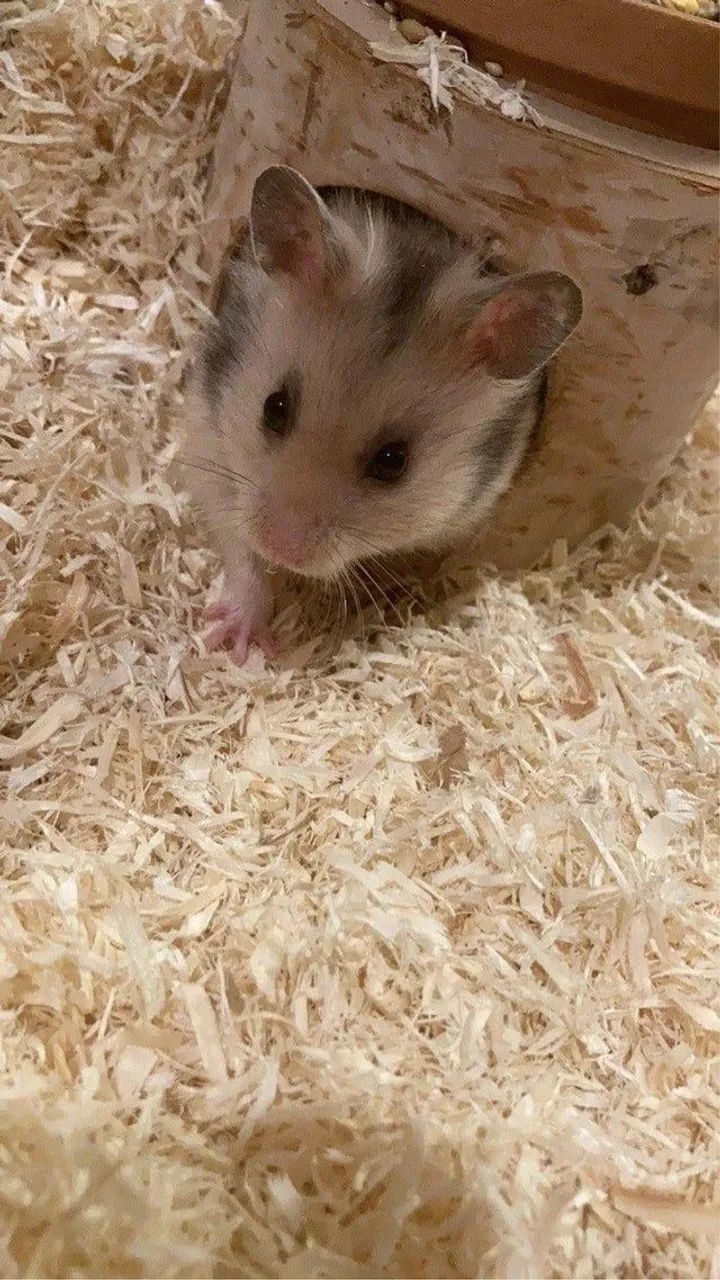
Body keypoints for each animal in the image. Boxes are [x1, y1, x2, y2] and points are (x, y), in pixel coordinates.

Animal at [182, 164, 583, 663]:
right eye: (274, 407)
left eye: (393, 462)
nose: (282, 548)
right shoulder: (208, 436)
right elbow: (238, 545)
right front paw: (233, 641)